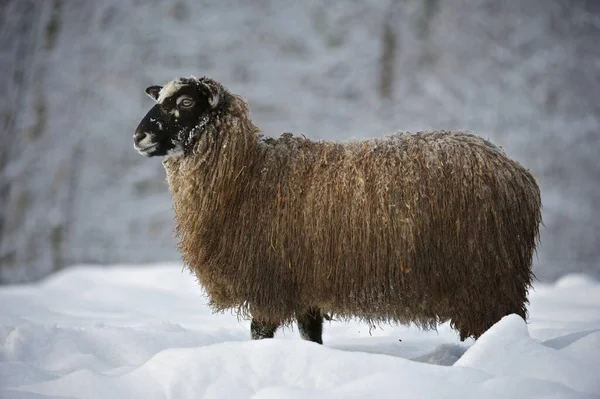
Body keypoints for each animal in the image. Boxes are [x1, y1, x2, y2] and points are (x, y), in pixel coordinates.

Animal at [134, 76, 540, 344]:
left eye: (187, 102)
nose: (138, 136)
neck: (248, 174)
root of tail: (516, 172)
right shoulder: (305, 287)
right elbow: (311, 337)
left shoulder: (269, 283)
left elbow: (260, 334)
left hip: (485, 279)